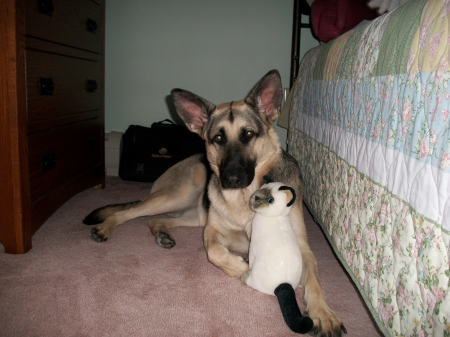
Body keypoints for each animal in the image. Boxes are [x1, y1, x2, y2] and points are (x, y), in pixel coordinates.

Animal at [83, 69, 344, 334]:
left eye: (248, 134)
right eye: (218, 138)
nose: (231, 179)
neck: (245, 198)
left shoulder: (302, 247)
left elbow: (314, 280)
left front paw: (322, 312)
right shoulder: (212, 231)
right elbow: (215, 252)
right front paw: (245, 268)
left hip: (192, 215)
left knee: (156, 220)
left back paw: (162, 234)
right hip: (175, 197)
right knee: (129, 212)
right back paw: (105, 228)